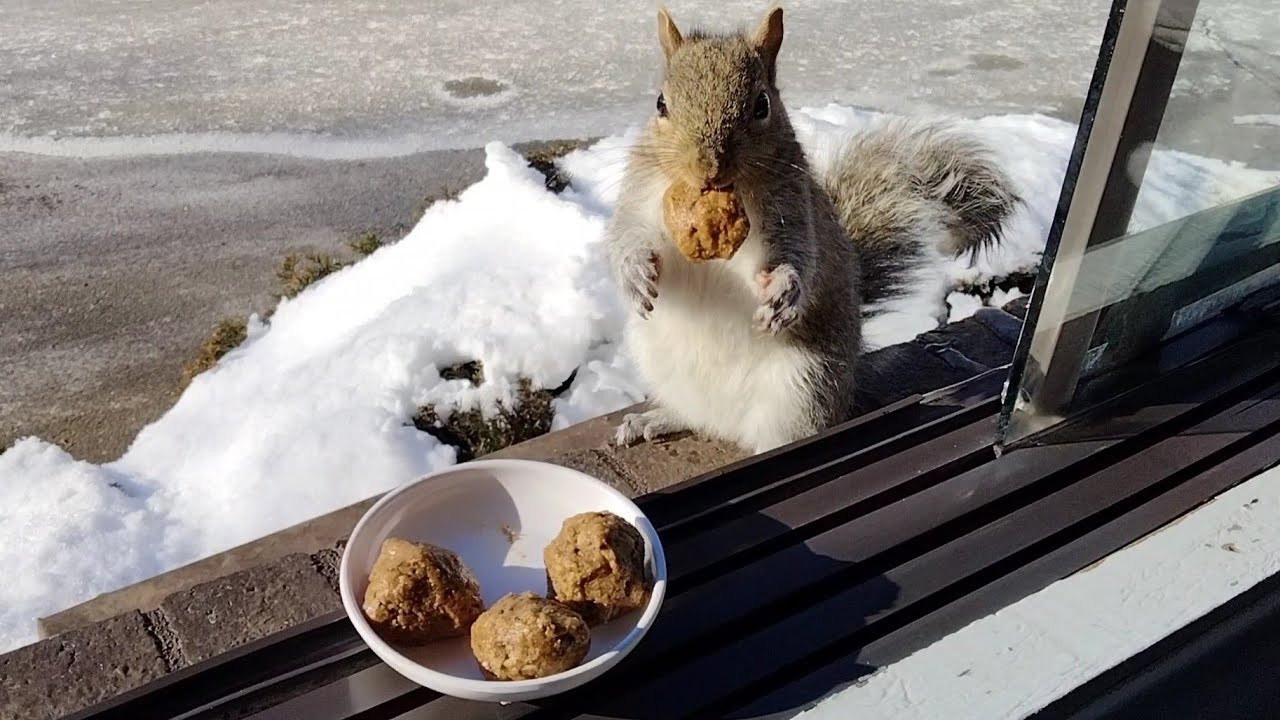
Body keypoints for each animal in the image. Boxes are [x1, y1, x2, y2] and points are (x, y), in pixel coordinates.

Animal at [605, 5, 1019, 454]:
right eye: (660, 104)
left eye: (762, 105)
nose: (708, 168)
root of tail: (729, 425)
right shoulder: (640, 193)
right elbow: (626, 235)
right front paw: (635, 272)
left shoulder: (793, 206)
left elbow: (798, 255)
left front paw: (782, 289)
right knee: (694, 416)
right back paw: (654, 419)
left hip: (803, 388)